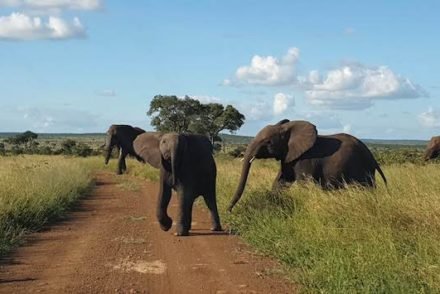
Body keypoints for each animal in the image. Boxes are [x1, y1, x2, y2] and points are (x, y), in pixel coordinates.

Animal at [229, 119, 386, 211]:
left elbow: (305, 185)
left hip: (361, 170)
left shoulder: (306, 158)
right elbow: (281, 182)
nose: (228, 211)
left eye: (268, 142)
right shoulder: (289, 157)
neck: (288, 129)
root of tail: (372, 156)